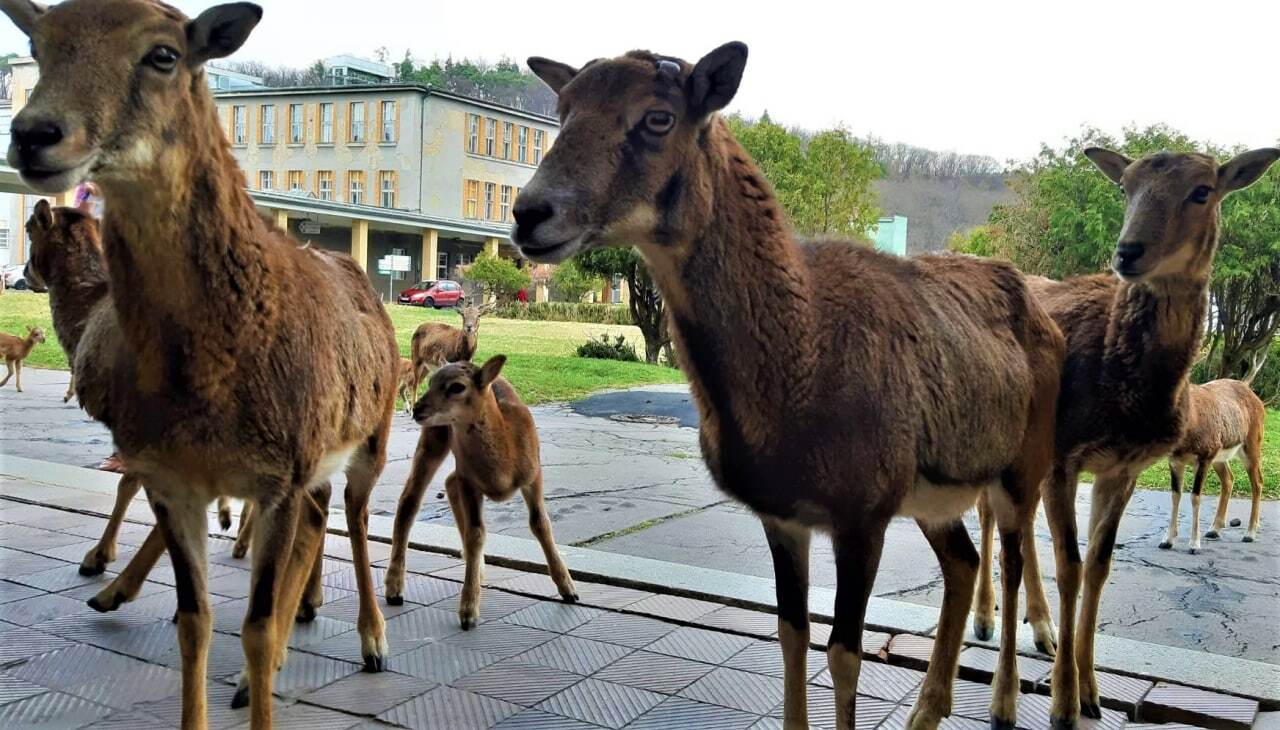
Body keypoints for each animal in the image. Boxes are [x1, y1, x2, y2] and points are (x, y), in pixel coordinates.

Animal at [1, 2, 399, 722]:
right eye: (36, 46)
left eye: (164, 53)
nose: (34, 134)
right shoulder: (169, 474)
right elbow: (196, 621)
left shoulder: (279, 474)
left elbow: (255, 623)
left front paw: (103, 574)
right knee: (321, 518)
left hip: (370, 437)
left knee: (356, 521)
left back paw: (373, 641)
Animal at [384, 356, 576, 622]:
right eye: (431, 381)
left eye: (457, 386)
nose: (418, 408)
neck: (502, 471)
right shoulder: (469, 481)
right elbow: (476, 532)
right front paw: (468, 610)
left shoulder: (533, 472)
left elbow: (540, 523)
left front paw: (569, 589)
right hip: (434, 437)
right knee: (410, 498)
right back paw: (394, 589)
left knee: (448, 482)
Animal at [514, 44, 1064, 727]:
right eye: (563, 109)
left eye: (659, 117)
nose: (529, 213)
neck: (803, 361)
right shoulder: (784, 516)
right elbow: (791, 635)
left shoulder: (863, 514)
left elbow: (845, 654)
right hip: (932, 498)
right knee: (963, 563)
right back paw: (926, 711)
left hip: (1022, 467)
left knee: (1012, 561)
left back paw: (1007, 701)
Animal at [1167, 371, 1264, 548]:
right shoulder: (1175, 462)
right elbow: (1175, 495)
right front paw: (1167, 541)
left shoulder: (1203, 460)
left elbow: (1195, 497)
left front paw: (1194, 544)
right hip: (1219, 460)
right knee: (1228, 480)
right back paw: (1214, 530)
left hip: (1251, 450)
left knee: (1257, 483)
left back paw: (1250, 534)